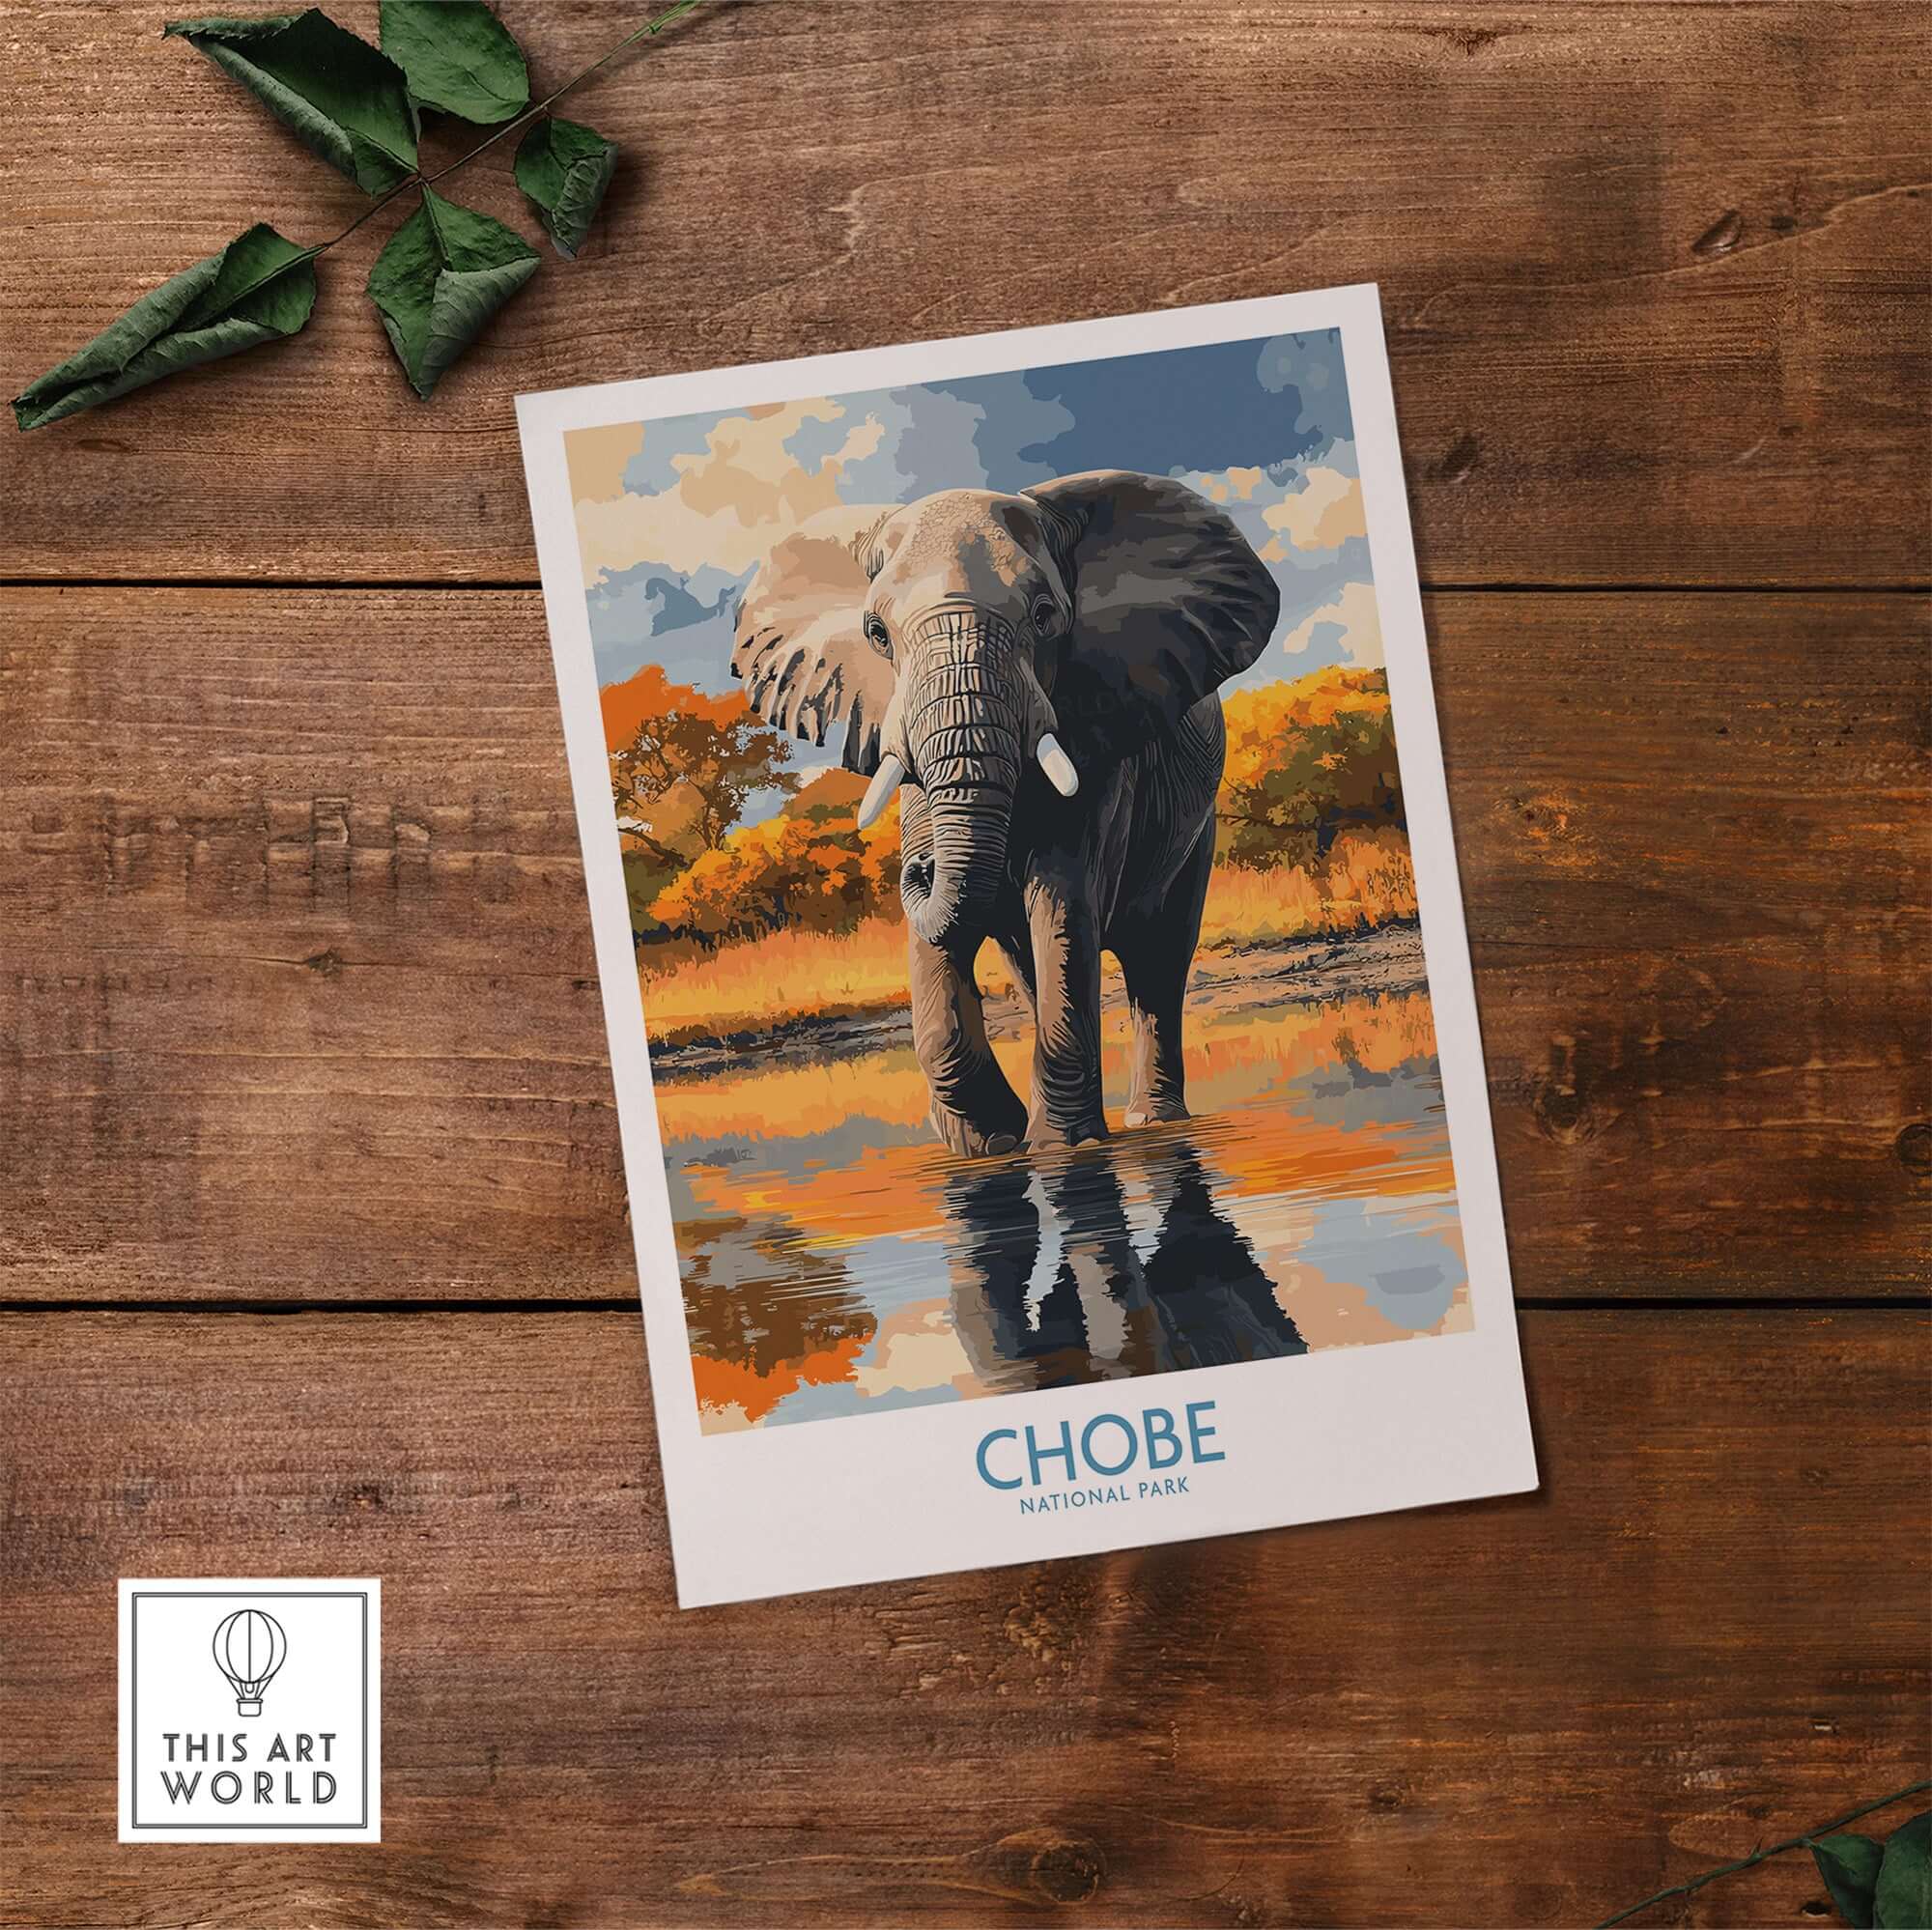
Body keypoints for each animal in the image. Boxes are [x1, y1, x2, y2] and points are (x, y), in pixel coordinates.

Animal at [728, 470, 1281, 1155]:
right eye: (877, 634)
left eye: (1044, 616)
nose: (918, 868)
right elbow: (947, 940)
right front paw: (990, 1147)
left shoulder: (1101, 740)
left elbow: (1062, 900)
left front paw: (1058, 1148)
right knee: (1030, 964)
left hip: (1196, 831)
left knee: (1158, 961)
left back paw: (1152, 1124)